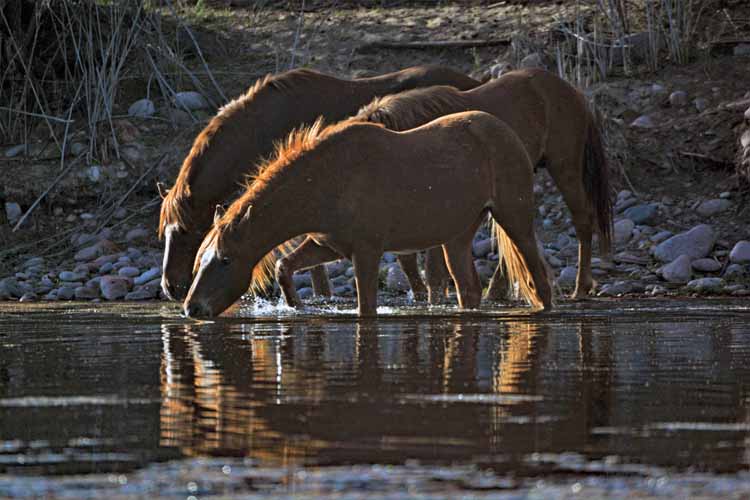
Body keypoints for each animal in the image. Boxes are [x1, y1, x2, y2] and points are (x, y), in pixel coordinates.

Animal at [185, 111, 556, 318]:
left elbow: (366, 309)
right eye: (199, 259)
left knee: (539, 279)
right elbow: (283, 266)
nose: (192, 308)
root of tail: (506, 131)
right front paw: (296, 306)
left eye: (225, 260)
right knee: (469, 290)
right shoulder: (328, 244)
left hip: (515, 217)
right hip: (458, 236)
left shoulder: (366, 252)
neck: (327, 181)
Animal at [276, 68, 616, 302]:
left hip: (564, 168)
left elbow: (432, 271)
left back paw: (580, 287)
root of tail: (574, 93)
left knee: (582, 221)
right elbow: (415, 261)